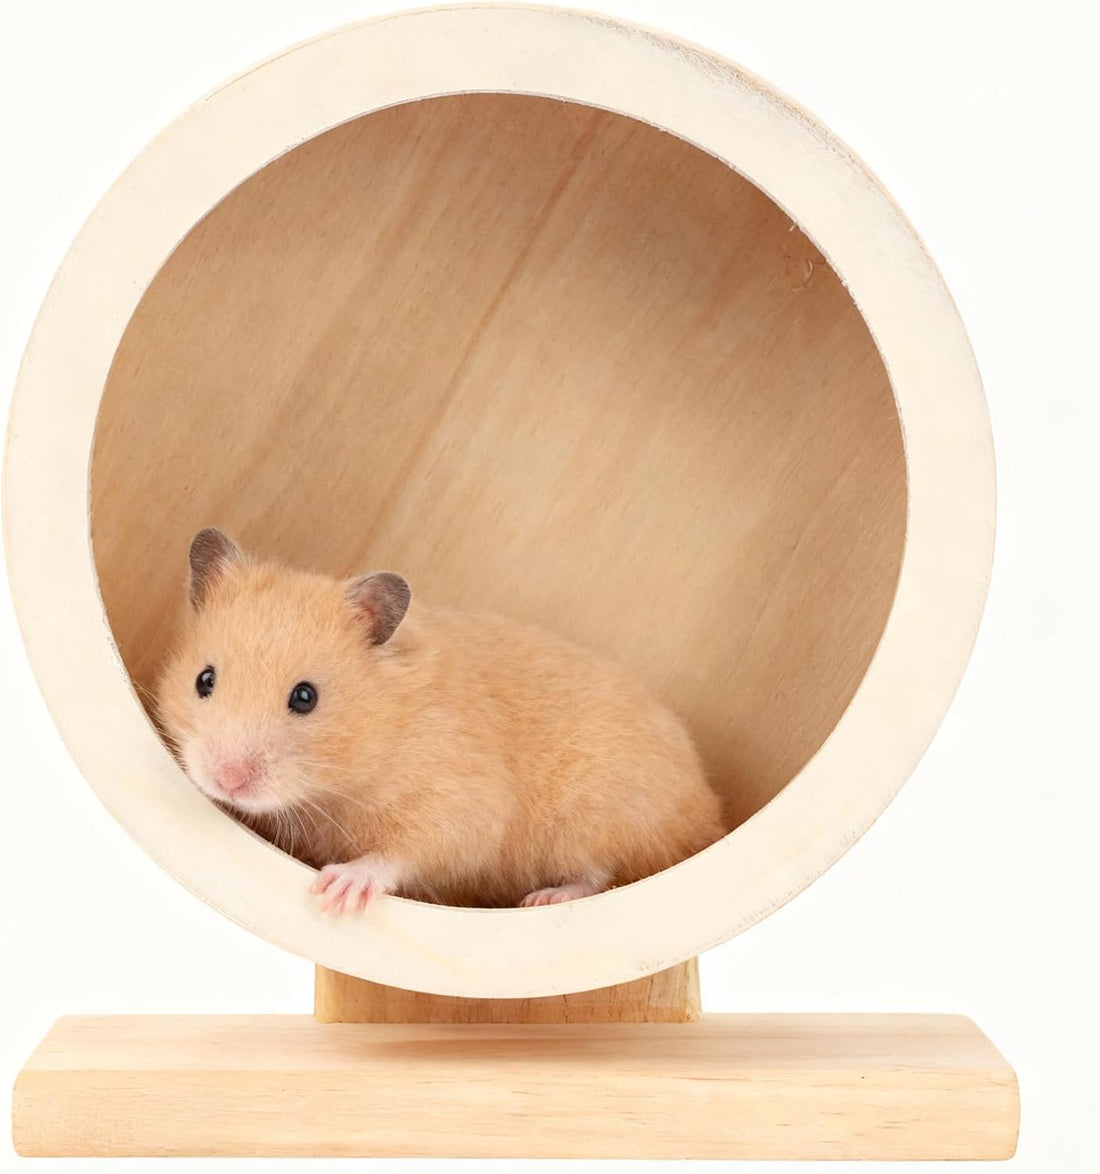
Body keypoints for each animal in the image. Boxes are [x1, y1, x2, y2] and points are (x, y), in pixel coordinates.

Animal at [155, 528, 725, 911]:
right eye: (204, 680)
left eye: (305, 697)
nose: (226, 781)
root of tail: (706, 811)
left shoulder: (459, 803)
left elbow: (407, 852)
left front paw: (338, 891)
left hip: (602, 813)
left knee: (603, 872)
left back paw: (545, 898)